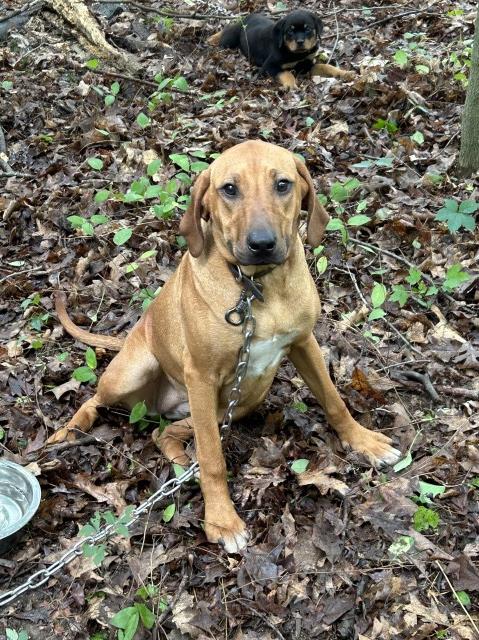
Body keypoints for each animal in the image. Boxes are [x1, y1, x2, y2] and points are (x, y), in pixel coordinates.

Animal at [49, 142, 402, 552]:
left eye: (283, 184)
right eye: (229, 189)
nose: (262, 244)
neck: (256, 290)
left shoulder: (304, 342)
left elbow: (334, 400)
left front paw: (363, 441)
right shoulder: (201, 376)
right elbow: (212, 459)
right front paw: (221, 519)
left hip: (240, 400)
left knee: (163, 434)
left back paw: (180, 460)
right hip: (137, 372)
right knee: (98, 400)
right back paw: (68, 432)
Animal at [208, 10, 354, 90]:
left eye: (307, 29)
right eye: (290, 30)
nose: (300, 42)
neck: (295, 54)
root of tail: (249, 15)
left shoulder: (306, 65)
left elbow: (325, 66)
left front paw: (345, 73)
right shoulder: (268, 66)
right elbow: (286, 72)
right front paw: (291, 85)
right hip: (230, 40)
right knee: (227, 30)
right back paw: (211, 38)